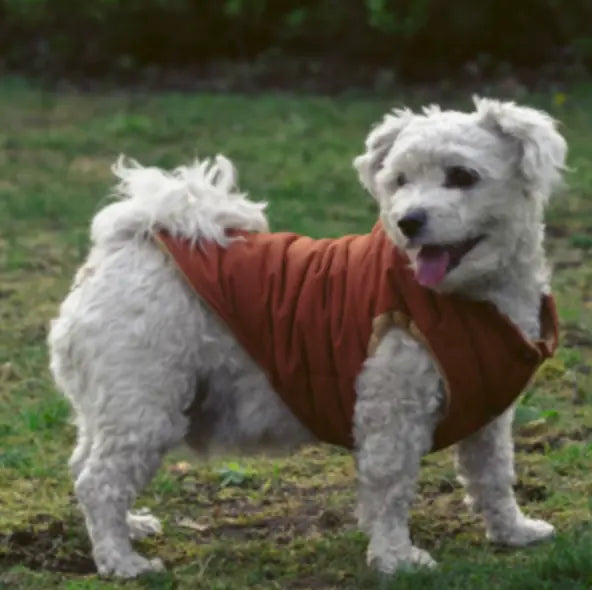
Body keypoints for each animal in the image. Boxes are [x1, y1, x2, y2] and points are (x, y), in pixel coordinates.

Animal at [48, 98, 568, 580]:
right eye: (400, 181)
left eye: (462, 176)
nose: (409, 221)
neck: (467, 298)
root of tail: (124, 246)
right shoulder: (392, 411)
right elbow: (390, 486)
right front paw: (396, 558)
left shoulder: (488, 414)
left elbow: (494, 476)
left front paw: (513, 532)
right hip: (144, 402)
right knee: (99, 481)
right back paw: (121, 561)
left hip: (110, 404)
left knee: (83, 465)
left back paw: (128, 527)